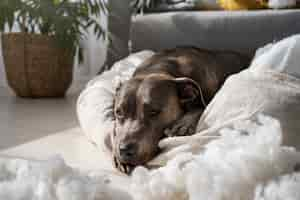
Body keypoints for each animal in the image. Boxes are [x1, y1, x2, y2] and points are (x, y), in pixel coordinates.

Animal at [105, 47, 251, 173]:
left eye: (153, 111)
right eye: (119, 113)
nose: (124, 150)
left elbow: (200, 107)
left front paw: (183, 125)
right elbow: (113, 130)